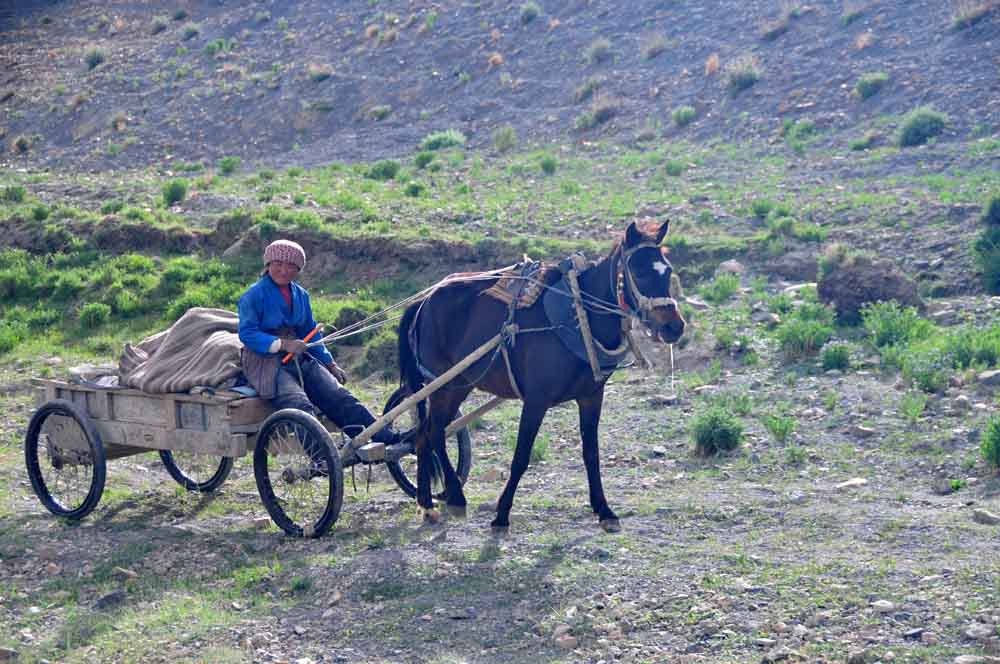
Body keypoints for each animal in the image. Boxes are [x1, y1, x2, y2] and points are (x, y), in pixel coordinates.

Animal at [394, 220, 684, 532]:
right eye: (638, 272)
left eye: (667, 270)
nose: (674, 327)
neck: (578, 317)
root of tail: (424, 301)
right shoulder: (536, 400)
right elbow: (521, 456)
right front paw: (502, 514)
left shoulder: (592, 396)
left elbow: (591, 454)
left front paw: (604, 510)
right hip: (446, 383)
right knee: (434, 432)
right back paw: (454, 497)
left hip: (458, 384)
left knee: (422, 435)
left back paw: (428, 503)